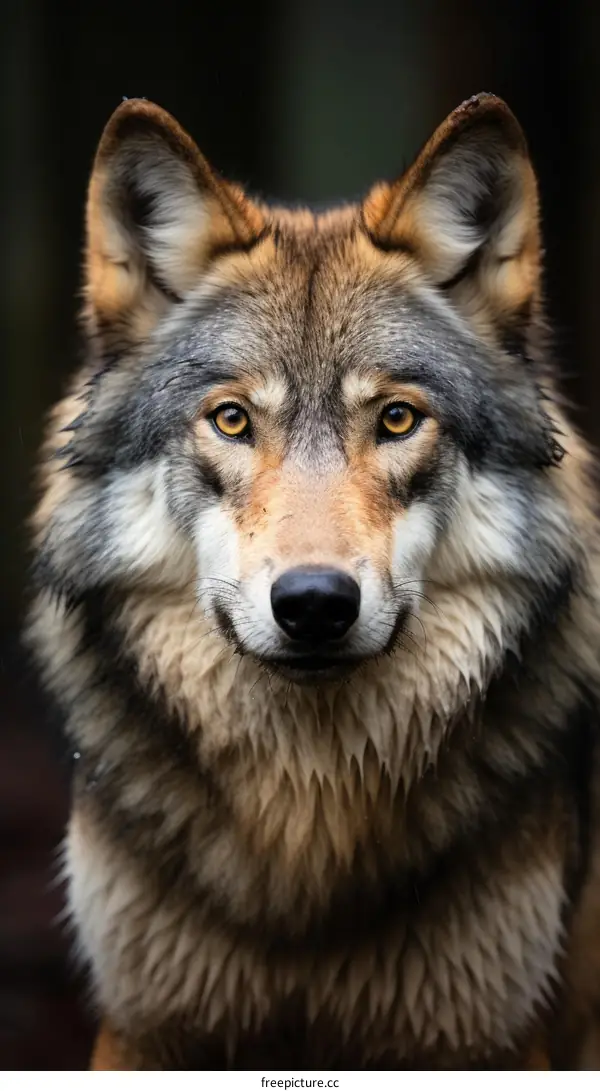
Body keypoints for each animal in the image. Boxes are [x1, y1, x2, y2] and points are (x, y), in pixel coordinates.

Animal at [26, 92, 600, 1069]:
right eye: (231, 419)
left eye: (398, 418)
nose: (315, 605)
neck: (308, 832)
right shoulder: (146, 1026)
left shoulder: (488, 1035)